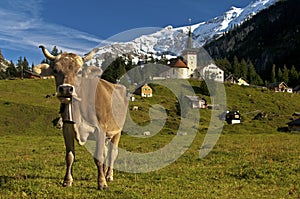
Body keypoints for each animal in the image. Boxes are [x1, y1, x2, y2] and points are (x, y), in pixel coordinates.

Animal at [34, 45, 127, 190]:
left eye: (79, 72)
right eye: (55, 70)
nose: (66, 89)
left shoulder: (101, 129)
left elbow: (98, 157)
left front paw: (102, 183)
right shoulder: (67, 128)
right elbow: (70, 156)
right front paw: (67, 180)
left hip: (117, 131)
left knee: (112, 153)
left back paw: (109, 175)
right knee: (107, 152)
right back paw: (105, 171)